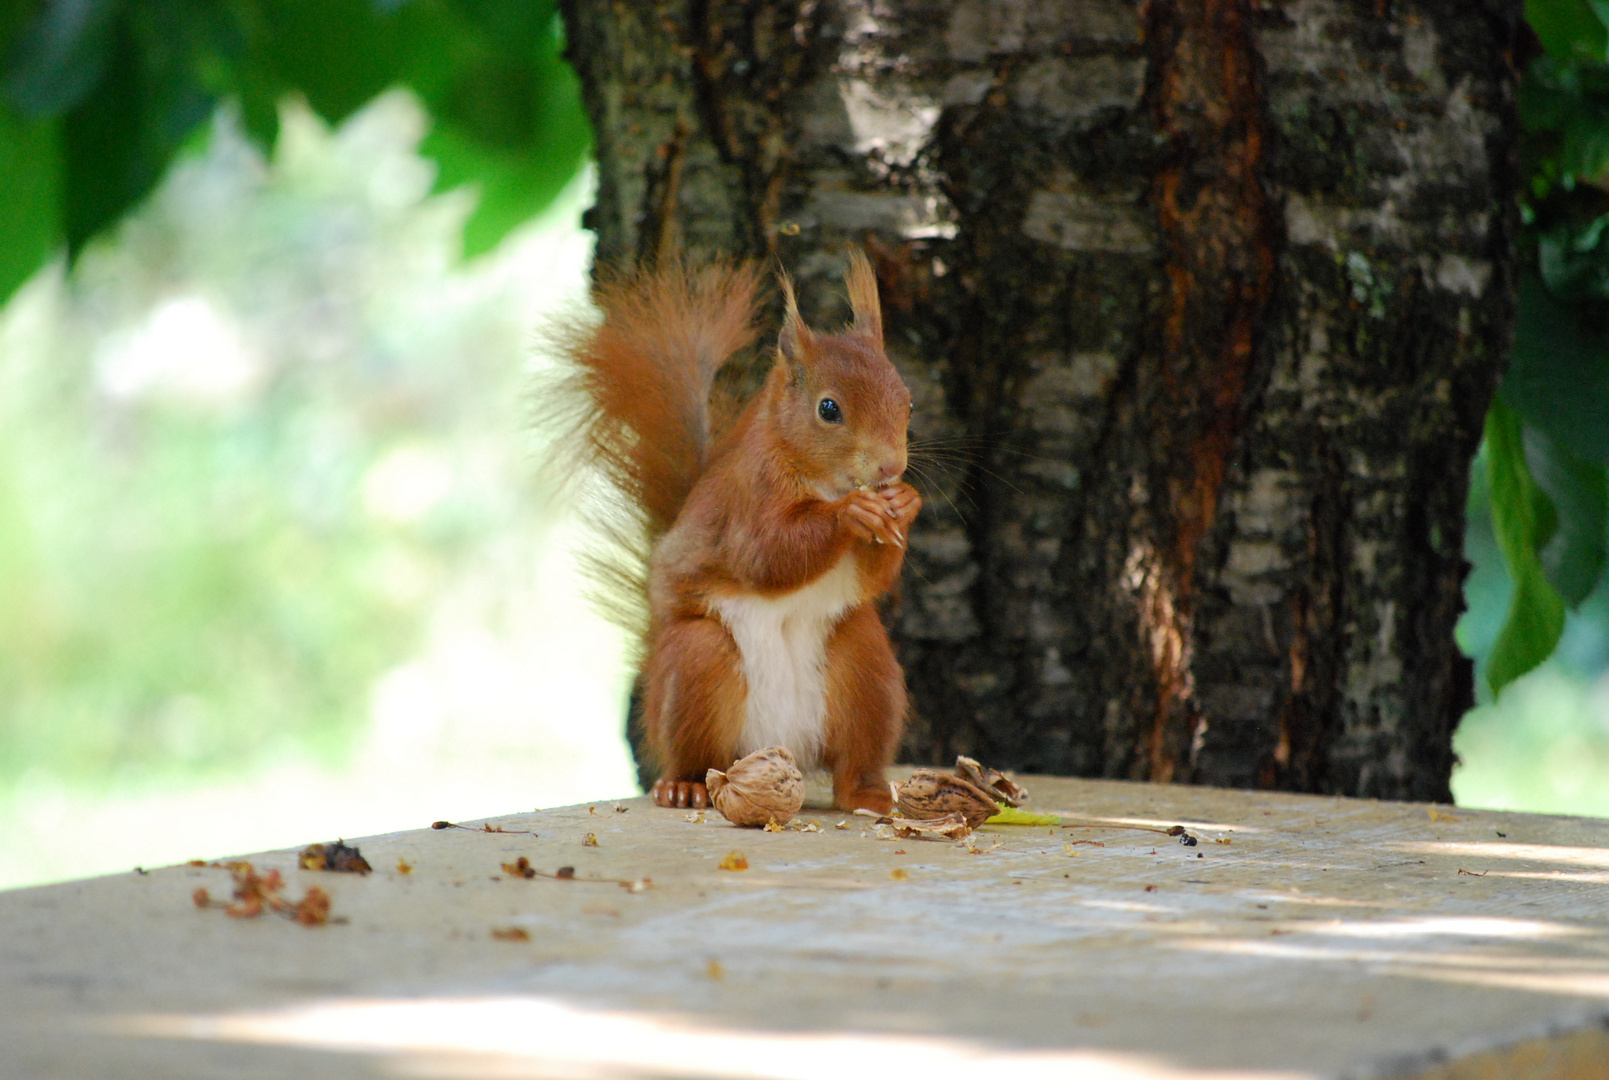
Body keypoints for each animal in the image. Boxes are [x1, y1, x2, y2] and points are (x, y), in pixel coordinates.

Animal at [559, 249, 920, 814]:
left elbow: (873, 576)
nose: (890, 467)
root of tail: (782, 744)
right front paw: (851, 513)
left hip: (865, 665)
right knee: (695, 748)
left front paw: (904, 504)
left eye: (908, 403)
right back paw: (683, 787)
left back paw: (867, 793)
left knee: (853, 759)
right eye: (829, 409)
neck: (819, 479)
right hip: (698, 666)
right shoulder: (745, 503)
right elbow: (768, 556)